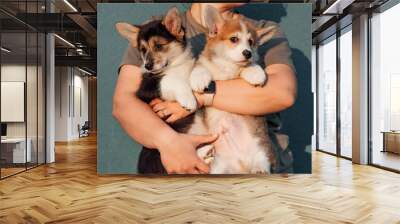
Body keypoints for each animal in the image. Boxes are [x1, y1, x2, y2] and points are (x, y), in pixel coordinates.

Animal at [192, 4, 276, 173]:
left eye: (251, 42)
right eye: (234, 39)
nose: (247, 53)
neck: (227, 66)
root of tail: (241, 165)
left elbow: (249, 66)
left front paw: (255, 72)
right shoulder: (204, 63)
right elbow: (200, 67)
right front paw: (198, 77)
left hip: (261, 149)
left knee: (262, 161)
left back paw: (259, 170)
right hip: (218, 164)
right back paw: (205, 154)